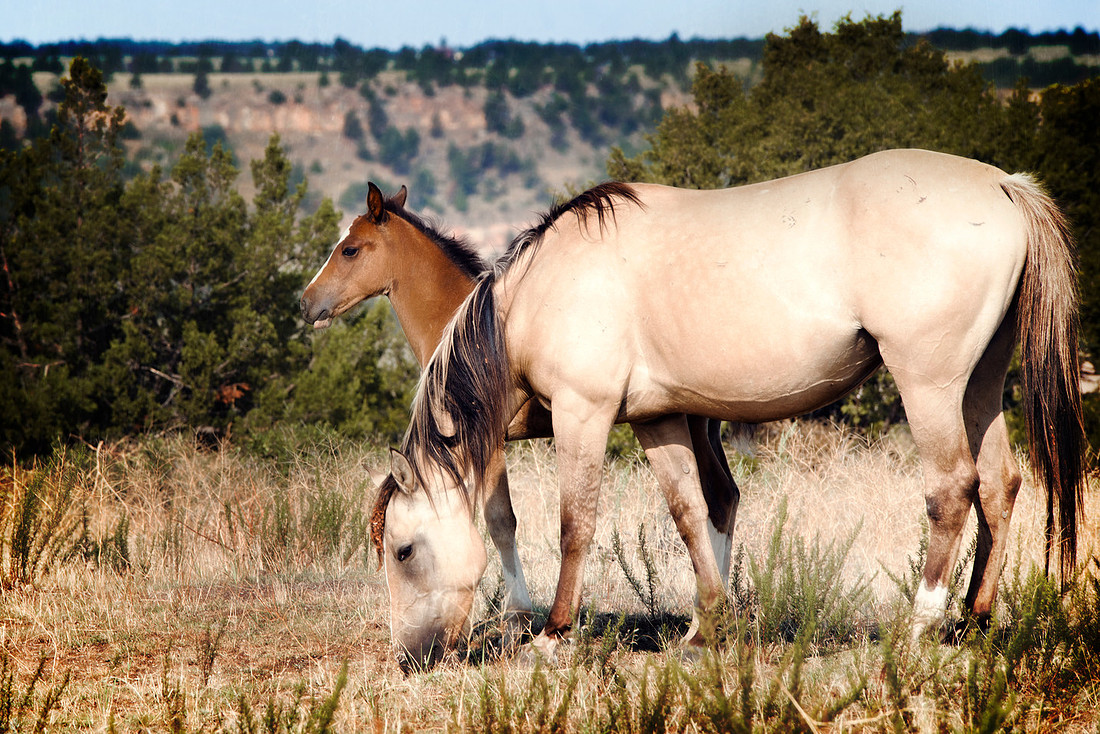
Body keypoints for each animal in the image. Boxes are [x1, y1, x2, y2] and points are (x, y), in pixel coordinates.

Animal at [299, 182, 740, 649]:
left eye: (349, 249)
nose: (307, 304)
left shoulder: (487, 441)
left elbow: (500, 521)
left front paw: (517, 620)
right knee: (723, 497)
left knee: (717, 498)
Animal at [374, 148, 1084, 670]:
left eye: (404, 551)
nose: (410, 657)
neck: (540, 288)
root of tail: (1003, 185)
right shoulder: (655, 420)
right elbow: (692, 515)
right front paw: (705, 629)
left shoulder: (584, 415)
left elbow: (577, 523)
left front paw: (552, 634)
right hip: (979, 383)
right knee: (999, 484)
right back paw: (974, 622)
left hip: (929, 384)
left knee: (952, 489)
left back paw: (923, 622)